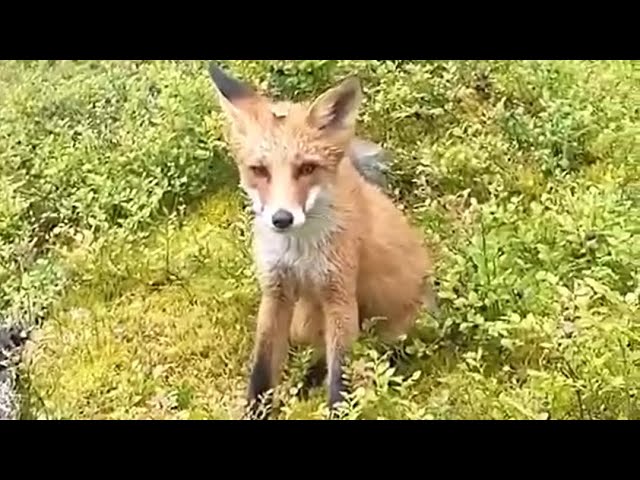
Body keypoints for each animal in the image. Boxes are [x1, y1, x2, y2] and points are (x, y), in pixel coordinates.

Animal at [207, 63, 437, 418]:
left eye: (307, 168)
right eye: (259, 170)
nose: (282, 219)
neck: (298, 251)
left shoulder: (339, 293)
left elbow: (340, 376)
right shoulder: (276, 291)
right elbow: (262, 369)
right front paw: (256, 410)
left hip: (390, 325)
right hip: (304, 319)